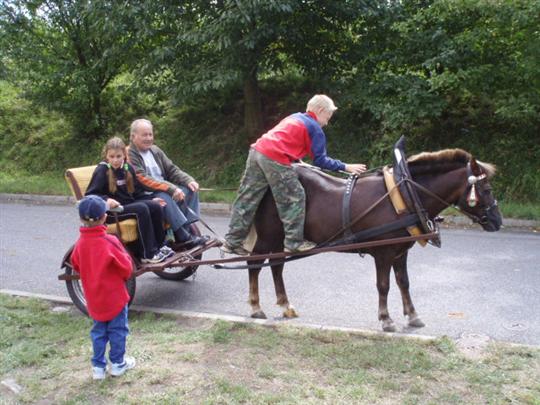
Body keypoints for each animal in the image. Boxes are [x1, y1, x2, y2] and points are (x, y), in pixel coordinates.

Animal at [246, 148, 502, 332]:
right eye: (486, 189)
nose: (498, 221)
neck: (405, 197)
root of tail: (264, 185)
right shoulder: (384, 253)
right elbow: (384, 285)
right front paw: (386, 319)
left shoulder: (400, 252)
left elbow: (404, 282)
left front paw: (413, 315)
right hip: (269, 235)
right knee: (254, 263)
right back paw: (255, 306)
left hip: (280, 237)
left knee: (277, 265)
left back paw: (285, 305)